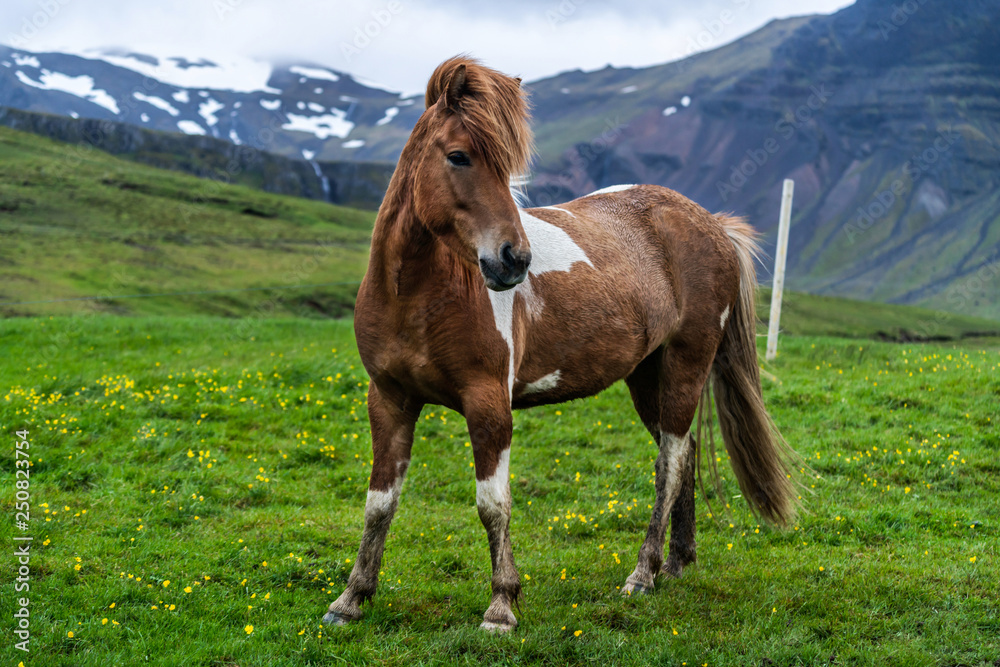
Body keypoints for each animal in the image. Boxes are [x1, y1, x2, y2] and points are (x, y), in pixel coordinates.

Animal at [326, 56, 796, 632]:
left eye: (507, 168)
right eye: (458, 156)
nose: (514, 259)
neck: (418, 296)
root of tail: (711, 224)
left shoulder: (488, 405)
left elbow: (492, 505)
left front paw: (502, 605)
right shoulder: (389, 399)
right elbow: (379, 502)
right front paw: (351, 597)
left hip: (687, 362)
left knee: (669, 463)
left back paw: (643, 574)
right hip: (649, 375)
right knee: (682, 454)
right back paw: (676, 563)